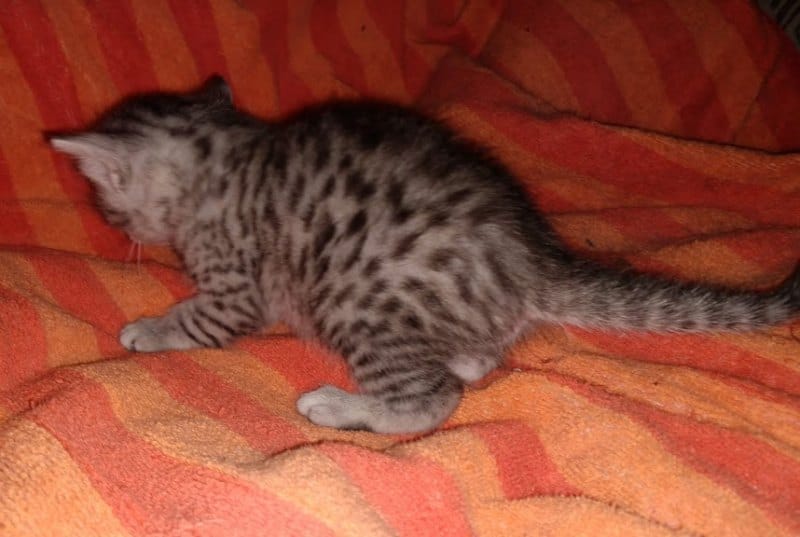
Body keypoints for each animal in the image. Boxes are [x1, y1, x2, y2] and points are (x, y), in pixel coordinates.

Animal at [50, 76, 800, 434]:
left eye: (108, 204)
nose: (112, 224)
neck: (226, 155)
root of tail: (534, 259)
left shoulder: (237, 286)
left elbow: (200, 319)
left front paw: (150, 329)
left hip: (360, 300)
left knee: (434, 397)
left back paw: (343, 406)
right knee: (476, 359)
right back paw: (467, 356)